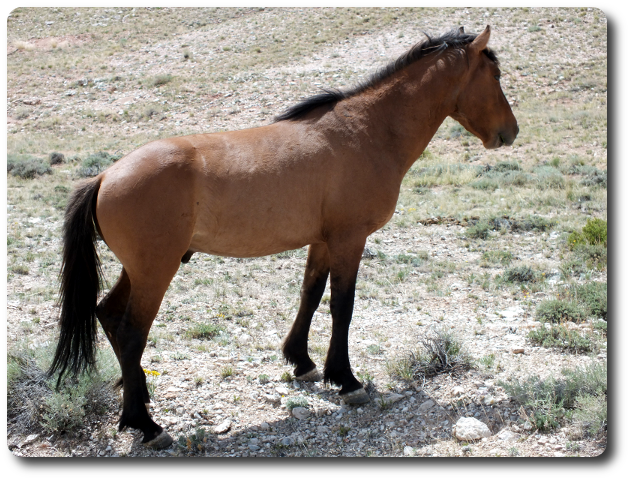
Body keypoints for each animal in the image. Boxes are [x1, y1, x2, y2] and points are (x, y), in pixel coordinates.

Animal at [48, 24, 520, 448]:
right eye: (494, 75)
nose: (510, 132)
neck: (367, 132)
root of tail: (104, 176)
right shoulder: (349, 240)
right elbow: (342, 307)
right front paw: (346, 380)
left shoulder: (323, 241)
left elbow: (310, 296)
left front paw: (303, 362)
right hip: (155, 271)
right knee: (130, 332)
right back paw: (146, 426)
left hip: (140, 270)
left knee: (108, 316)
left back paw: (140, 399)